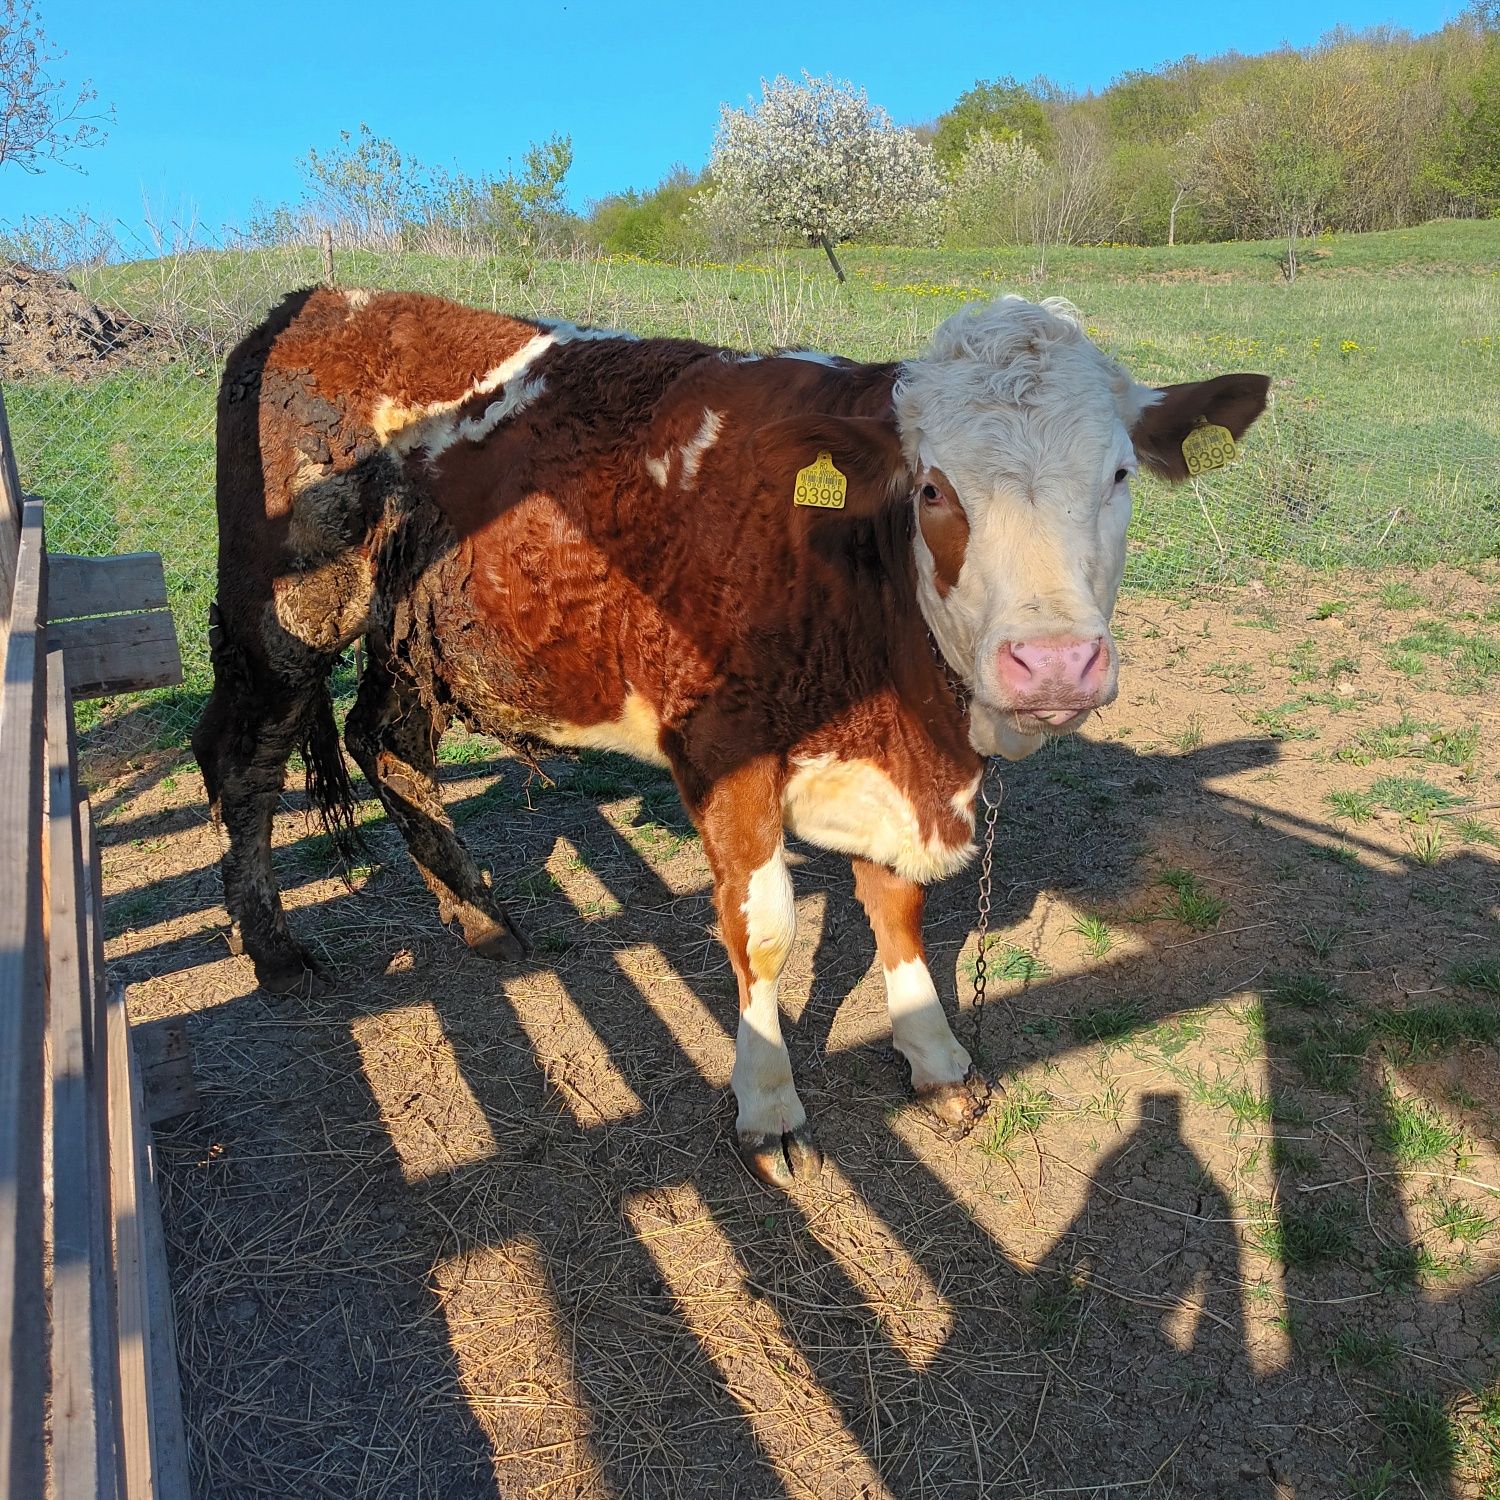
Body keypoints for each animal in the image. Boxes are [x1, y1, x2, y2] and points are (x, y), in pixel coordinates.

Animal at [190, 289, 1266, 1182]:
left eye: (1119, 474)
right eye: (932, 489)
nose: (1052, 663)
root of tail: (318, 301)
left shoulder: (888, 775)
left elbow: (899, 908)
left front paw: (935, 1058)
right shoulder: (721, 748)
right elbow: (766, 929)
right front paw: (770, 1109)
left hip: (425, 632)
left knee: (387, 741)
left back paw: (479, 913)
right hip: (287, 611)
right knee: (243, 757)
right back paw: (274, 947)